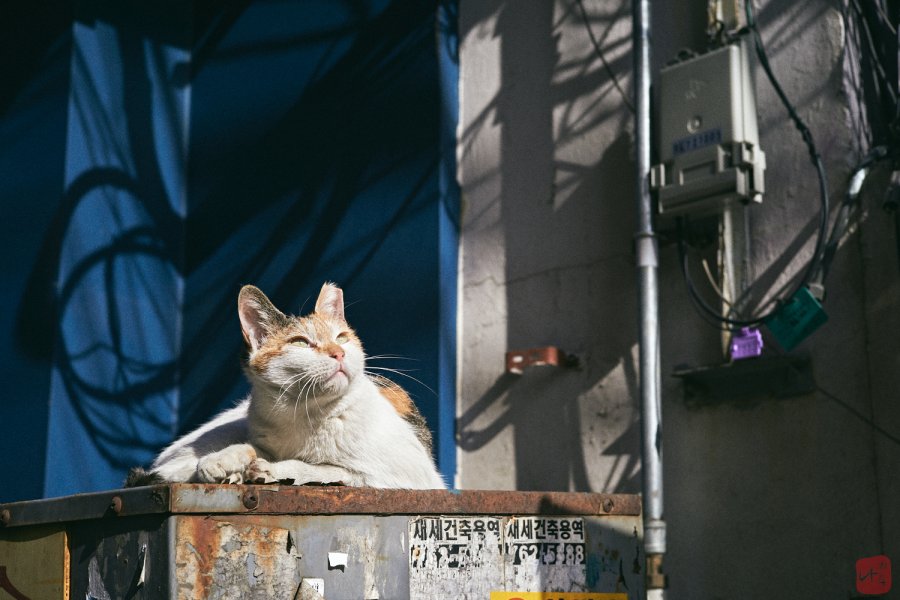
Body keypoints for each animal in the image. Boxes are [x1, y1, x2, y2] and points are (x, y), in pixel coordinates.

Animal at [126, 284, 446, 490]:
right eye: (301, 343)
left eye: (341, 338)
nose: (338, 353)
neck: (305, 414)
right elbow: (250, 448)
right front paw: (225, 462)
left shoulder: (410, 476)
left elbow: (330, 469)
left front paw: (272, 470)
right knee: (169, 470)